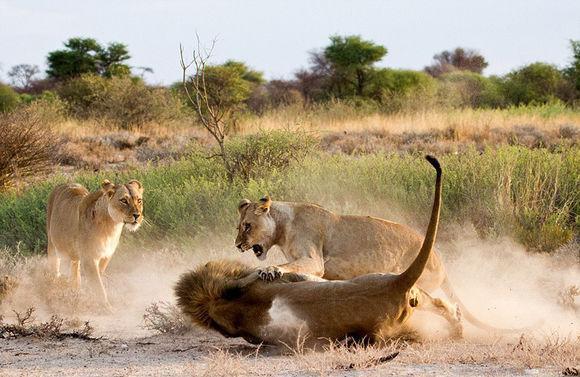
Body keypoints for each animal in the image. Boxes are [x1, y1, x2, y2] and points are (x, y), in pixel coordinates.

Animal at [46, 180, 144, 308]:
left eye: (139, 200)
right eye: (123, 200)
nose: (137, 215)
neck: (111, 226)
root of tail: (64, 183)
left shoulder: (107, 254)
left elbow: (98, 277)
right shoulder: (89, 258)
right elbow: (99, 287)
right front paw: (106, 308)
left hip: (75, 255)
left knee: (75, 268)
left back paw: (75, 291)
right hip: (52, 244)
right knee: (54, 268)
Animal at [174, 155, 460, 344]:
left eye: (247, 226)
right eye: (239, 226)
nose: (237, 245)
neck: (283, 227)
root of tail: (442, 264)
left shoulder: (313, 260)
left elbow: (284, 267)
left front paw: (269, 270)